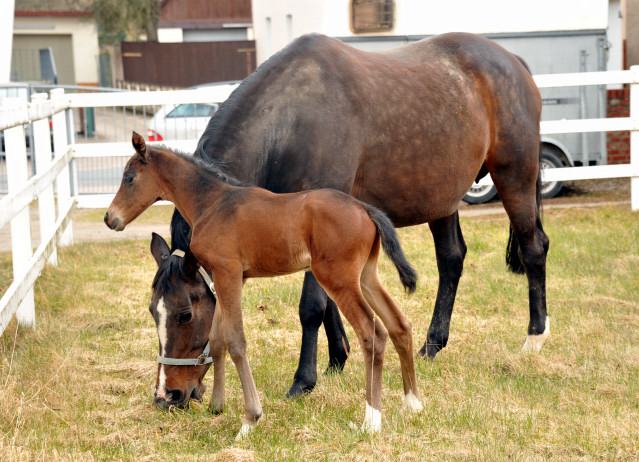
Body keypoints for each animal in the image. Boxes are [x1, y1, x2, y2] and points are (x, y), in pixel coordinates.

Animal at [159, 33, 552, 398]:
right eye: (153, 311)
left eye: (185, 314)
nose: (171, 396)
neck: (290, 118)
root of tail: (511, 60)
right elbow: (330, 300)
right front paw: (337, 358)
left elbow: (312, 306)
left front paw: (304, 380)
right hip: (442, 198)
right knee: (451, 260)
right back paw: (431, 345)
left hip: (514, 176)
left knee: (533, 248)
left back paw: (534, 337)